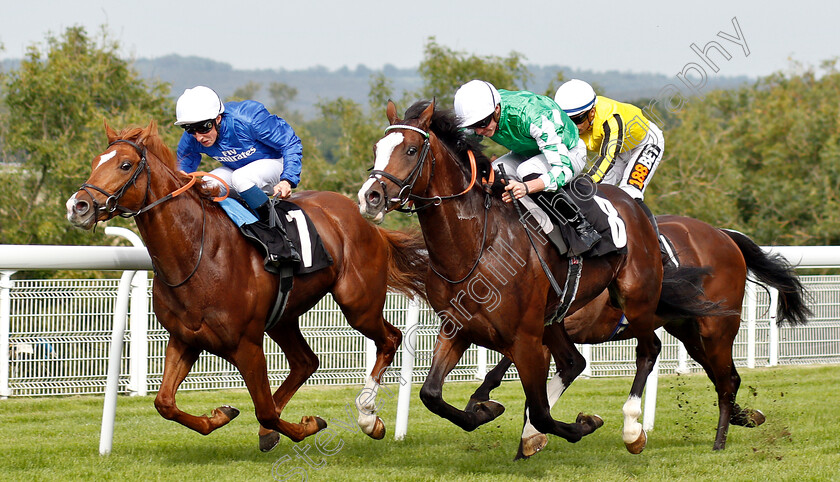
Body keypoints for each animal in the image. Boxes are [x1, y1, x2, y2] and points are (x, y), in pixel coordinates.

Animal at [67, 121, 426, 452]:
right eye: (96, 161)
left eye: (125, 165)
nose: (78, 205)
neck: (198, 253)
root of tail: (365, 218)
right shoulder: (185, 339)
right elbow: (165, 403)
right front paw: (221, 415)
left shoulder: (247, 345)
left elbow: (264, 410)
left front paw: (308, 425)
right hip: (283, 317)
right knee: (306, 361)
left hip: (357, 303)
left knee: (389, 338)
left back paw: (368, 417)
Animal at [360, 100, 716, 454]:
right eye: (377, 148)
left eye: (410, 149)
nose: (370, 196)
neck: (477, 245)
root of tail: (634, 204)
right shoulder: (457, 328)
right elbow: (431, 394)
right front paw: (485, 411)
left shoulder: (526, 339)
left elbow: (543, 412)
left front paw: (579, 425)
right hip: (555, 316)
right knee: (574, 362)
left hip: (636, 297)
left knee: (649, 349)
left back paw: (632, 429)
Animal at [470, 216, 812, 460]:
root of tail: (722, 234)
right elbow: (508, 369)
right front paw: (485, 403)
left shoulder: (548, 328)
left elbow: (523, 376)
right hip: (685, 328)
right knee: (727, 377)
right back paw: (745, 417)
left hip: (716, 327)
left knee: (723, 378)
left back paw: (718, 442)